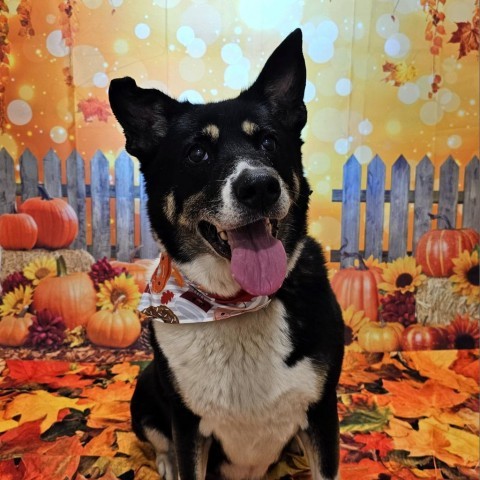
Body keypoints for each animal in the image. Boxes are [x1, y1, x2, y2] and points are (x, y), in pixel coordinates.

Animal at [108, 29, 344, 480]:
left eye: (269, 141)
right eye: (197, 153)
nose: (260, 186)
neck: (234, 303)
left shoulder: (322, 411)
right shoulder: (187, 424)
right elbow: (183, 454)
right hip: (146, 388)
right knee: (156, 436)